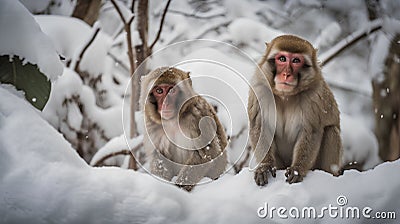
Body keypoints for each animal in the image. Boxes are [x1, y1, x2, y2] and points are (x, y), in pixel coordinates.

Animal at [248, 34, 342, 186]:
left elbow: (311, 132)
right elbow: (260, 127)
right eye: (282, 59)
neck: (286, 95)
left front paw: (297, 169)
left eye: (296, 60)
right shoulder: (259, 89)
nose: (286, 74)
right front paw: (265, 167)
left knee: (331, 130)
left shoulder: (314, 97)